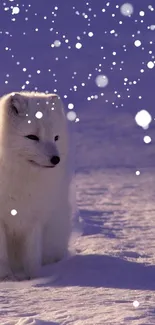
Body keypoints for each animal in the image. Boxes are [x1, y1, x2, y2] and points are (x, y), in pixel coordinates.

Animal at [0, 90, 72, 278]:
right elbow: (2, 256)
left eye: (56, 137)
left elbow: (32, 255)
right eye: (32, 137)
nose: (56, 159)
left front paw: (34, 278)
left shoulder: (34, 216)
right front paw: (6, 277)